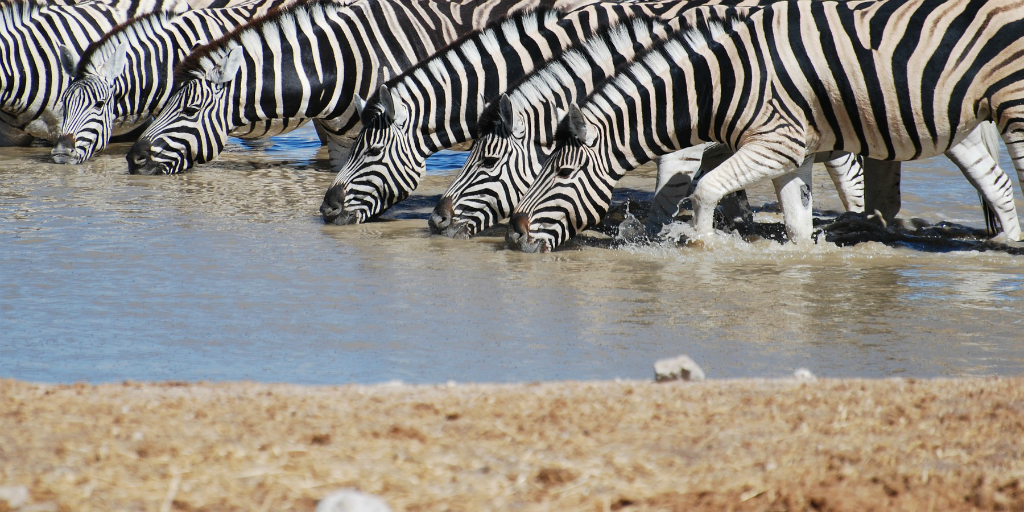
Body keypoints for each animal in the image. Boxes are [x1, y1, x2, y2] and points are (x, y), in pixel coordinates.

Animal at [506, 0, 1024, 252]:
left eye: (562, 174)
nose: (514, 235)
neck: (721, 82)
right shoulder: (791, 155)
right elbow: (796, 224)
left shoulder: (774, 143)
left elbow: (702, 189)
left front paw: (702, 243)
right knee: (995, 183)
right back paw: (1005, 242)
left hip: (1013, 106)